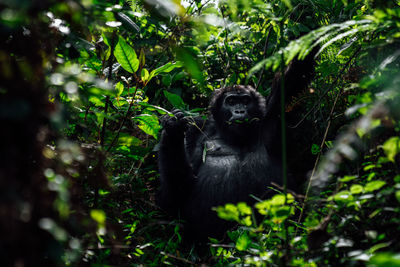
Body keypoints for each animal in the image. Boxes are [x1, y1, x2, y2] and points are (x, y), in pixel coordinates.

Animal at [156, 51, 316, 242]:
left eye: (246, 101)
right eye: (231, 101)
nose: (240, 111)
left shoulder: (272, 114)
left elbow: (295, 75)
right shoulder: (196, 129)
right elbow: (176, 192)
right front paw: (172, 130)